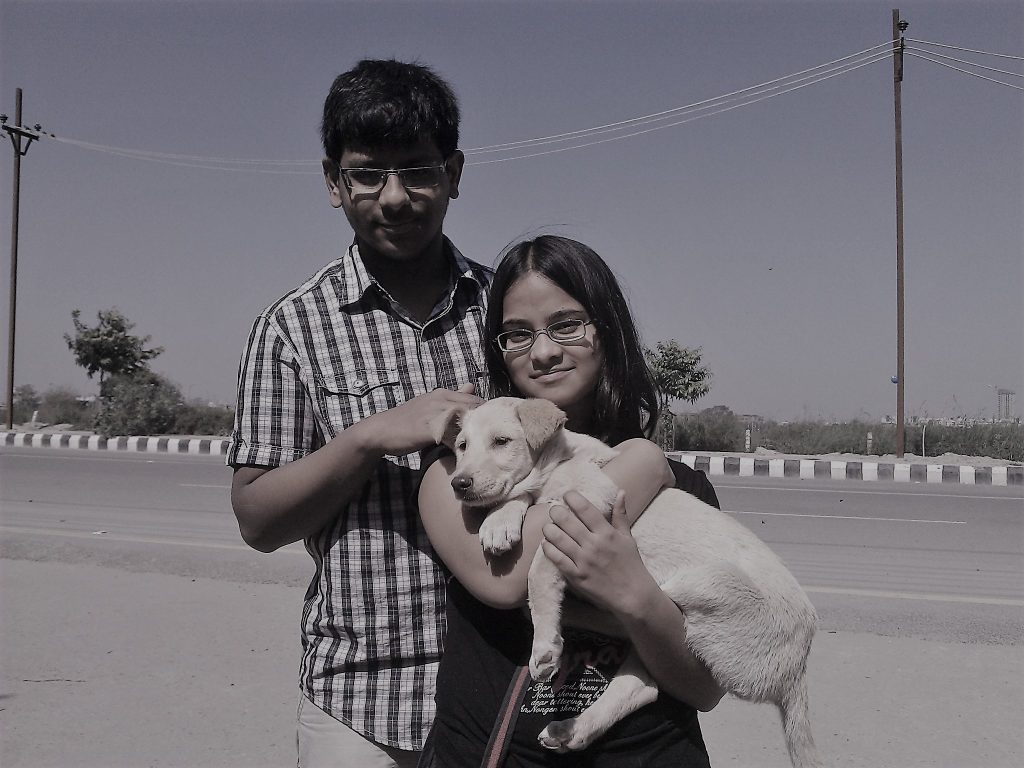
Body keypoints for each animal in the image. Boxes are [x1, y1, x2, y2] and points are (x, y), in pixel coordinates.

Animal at [436, 397, 819, 768]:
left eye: (501, 441)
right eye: (462, 446)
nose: (458, 483)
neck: (558, 461)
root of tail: (798, 669)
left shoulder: (588, 501)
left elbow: (540, 564)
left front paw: (545, 643)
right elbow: (518, 497)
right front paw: (498, 523)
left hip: (696, 584)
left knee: (629, 613)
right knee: (643, 685)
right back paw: (570, 729)